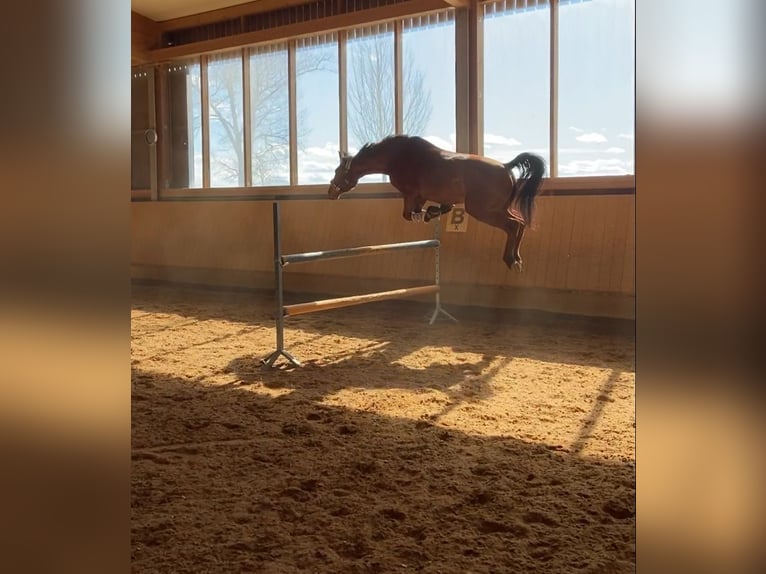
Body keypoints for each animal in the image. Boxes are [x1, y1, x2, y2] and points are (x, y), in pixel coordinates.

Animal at [328, 135, 546, 270]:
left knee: (513, 226)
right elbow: (430, 209)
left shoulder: (411, 194)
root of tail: (507, 167)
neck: (396, 157)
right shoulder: (421, 197)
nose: (330, 192)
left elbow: (408, 215)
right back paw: (517, 259)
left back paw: (511, 259)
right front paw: (434, 211)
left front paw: (428, 214)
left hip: (483, 210)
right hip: (499, 208)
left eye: (338, 171)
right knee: (521, 223)